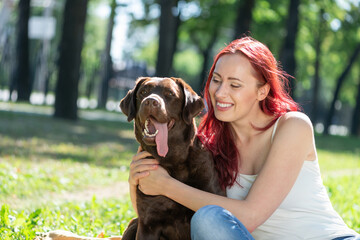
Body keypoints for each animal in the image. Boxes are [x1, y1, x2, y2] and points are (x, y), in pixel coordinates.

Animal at [119, 77, 224, 240]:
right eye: (143, 92)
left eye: (169, 93)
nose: (150, 101)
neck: (172, 160)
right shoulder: (148, 224)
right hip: (134, 224)